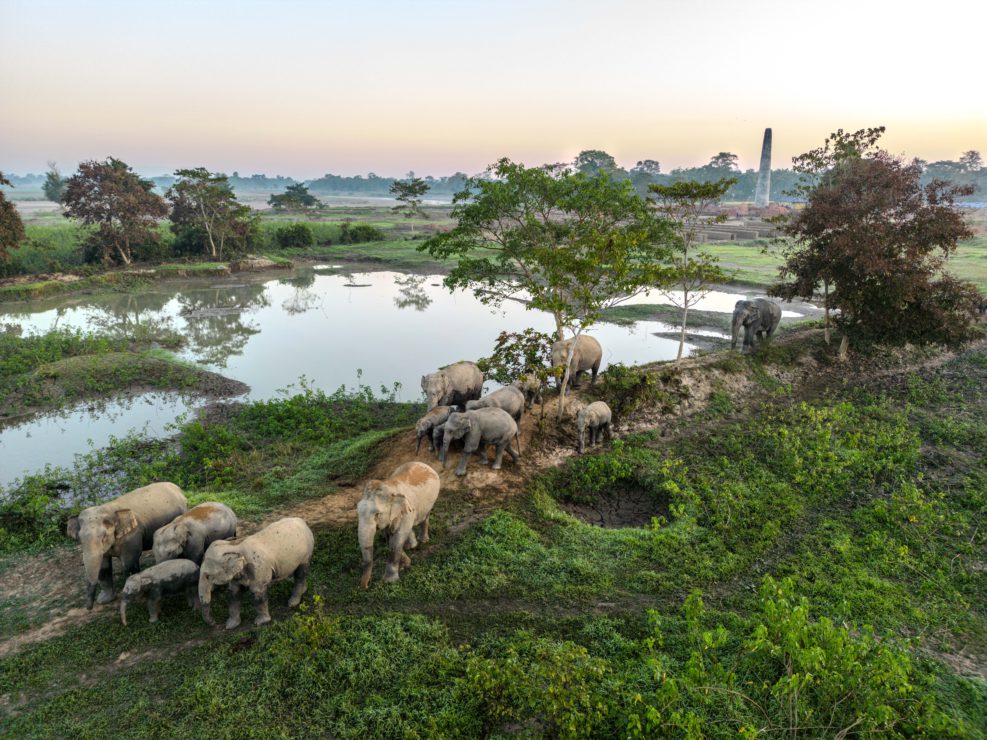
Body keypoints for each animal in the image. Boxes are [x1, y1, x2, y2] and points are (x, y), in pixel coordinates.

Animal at [357, 461, 440, 589]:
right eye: (357, 511)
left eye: (377, 514)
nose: (366, 587)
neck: (389, 487)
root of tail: (423, 463)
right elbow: (389, 537)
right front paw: (406, 565)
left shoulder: (406, 512)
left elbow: (397, 539)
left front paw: (389, 581)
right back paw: (411, 546)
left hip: (431, 500)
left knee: (425, 517)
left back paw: (423, 541)